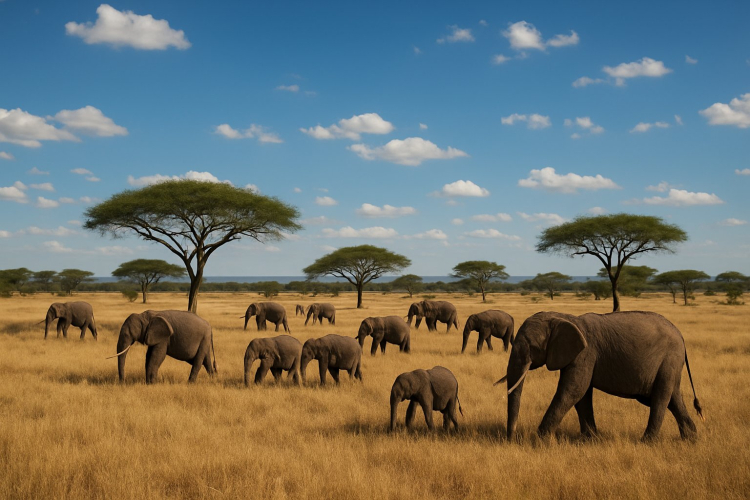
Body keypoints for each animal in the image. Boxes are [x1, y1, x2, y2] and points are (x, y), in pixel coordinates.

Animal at [498, 311, 704, 442]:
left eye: (532, 347)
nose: (512, 439)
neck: (564, 317)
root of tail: (680, 335)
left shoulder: (585, 354)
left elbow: (573, 390)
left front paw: (541, 440)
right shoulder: (577, 355)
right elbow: (581, 395)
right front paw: (590, 440)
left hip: (669, 359)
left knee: (660, 398)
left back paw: (647, 442)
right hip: (670, 363)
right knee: (673, 398)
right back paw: (690, 439)